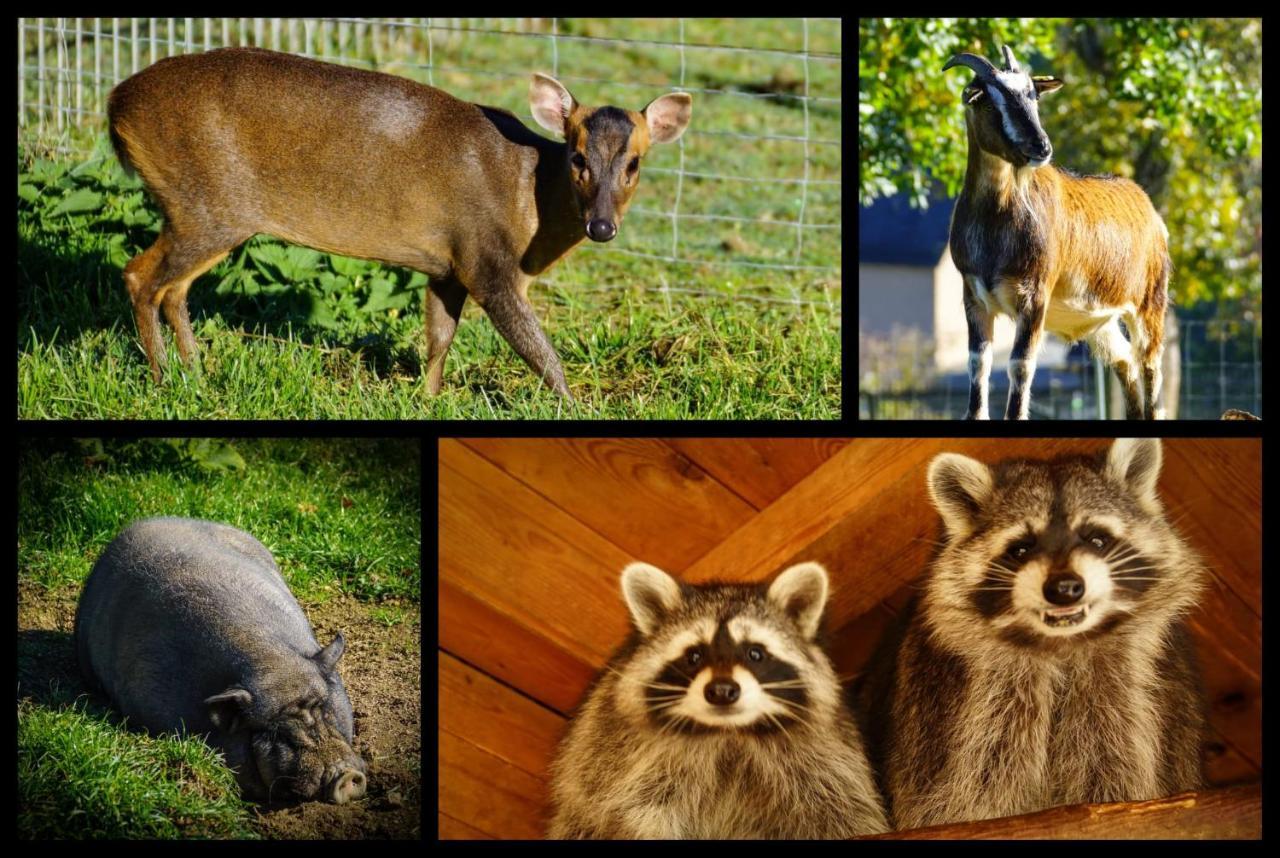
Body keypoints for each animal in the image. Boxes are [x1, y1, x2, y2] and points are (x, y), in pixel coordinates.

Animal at [106, 50, 696, 404]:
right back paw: (164, 382)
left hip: (206, 212)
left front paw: (428, 398)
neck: (528, 202)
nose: (602, 226)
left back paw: (197, 375)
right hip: (207, 204)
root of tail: (115, 104)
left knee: (173, 289)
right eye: (577, 156)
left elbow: (438, 338)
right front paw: (576, 407)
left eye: (634, 164)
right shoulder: (486, 258)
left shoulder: (447, 265)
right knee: (139, 276)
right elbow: (541, 352)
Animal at [545, 563, 885, 840]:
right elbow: (636, 806)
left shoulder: (824, 755)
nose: (721, 690)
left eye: (754, 653)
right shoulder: (626, 757)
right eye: (694, 656)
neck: (729, 733)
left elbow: (841, 807)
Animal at [855, 440, 1203, 829]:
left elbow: (1117, 767)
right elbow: (967, 791)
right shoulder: (946, 717)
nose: (1064, 589)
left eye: (1096, 539)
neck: (1061, 644)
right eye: (1021, 548)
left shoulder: (1129, 702)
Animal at [942, 46, 1172, 420]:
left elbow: (1021, 365)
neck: (995, 225)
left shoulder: (1035, 295)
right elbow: (978, 364)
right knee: (1124, 359)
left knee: (1149, 364)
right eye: (990, 101)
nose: (1041, 147)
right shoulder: (973, 295)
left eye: (1032, 95)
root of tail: (1150, 211)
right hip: (1101, 320)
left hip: (1149, 302)